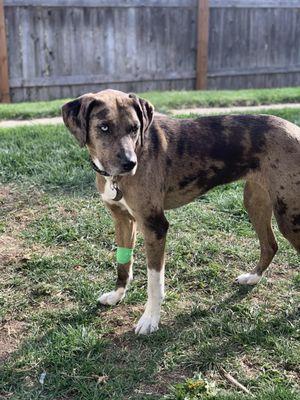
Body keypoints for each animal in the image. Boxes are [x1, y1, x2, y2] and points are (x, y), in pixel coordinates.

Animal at [61, 90, 300, 334]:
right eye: (104, 127)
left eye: (134, 128)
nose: (130, 164)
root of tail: (295, 129)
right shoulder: (123, 221)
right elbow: (123, 264)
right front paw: (117, 295)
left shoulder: (154, 225)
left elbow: (154, 281)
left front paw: (150, 319)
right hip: (255, 202)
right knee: (270, 245)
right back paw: (252, 277)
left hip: (289, 216)